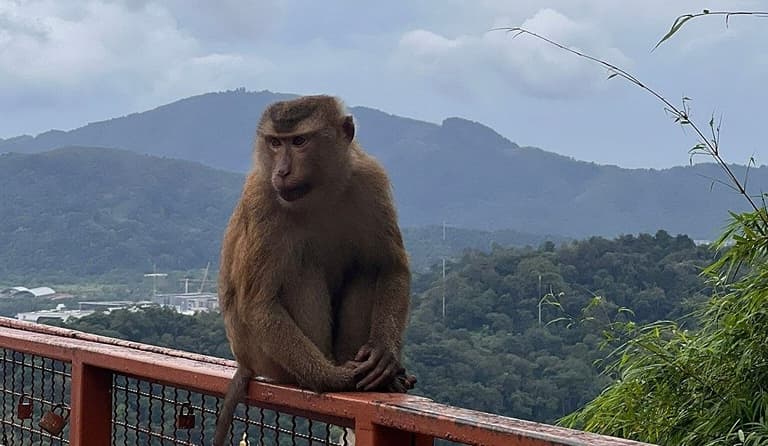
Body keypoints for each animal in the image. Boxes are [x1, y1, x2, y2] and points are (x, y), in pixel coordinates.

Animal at [214, 95, 416, 446]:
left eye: (299, 141)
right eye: (275, 142)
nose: (282, 171)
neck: (318, 192)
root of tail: (245, 362)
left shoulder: (370, 178)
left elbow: (390, 266)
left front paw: (384, 353)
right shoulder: (262, 198)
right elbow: (258, 304)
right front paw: (332, 378)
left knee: (366, 269)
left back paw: (380, 377)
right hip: (267, 358)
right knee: (299, 268)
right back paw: (325, 372)